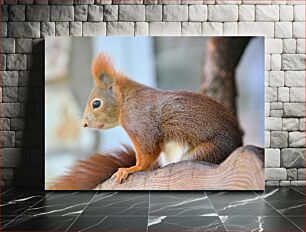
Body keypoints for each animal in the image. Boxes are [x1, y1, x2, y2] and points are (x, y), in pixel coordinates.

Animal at [49, 53, 243, 190]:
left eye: (96, 103)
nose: (84, 124)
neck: (126, 100)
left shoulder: (138, 120)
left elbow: (147, 153)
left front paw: (130, 169)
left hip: (207, 152)